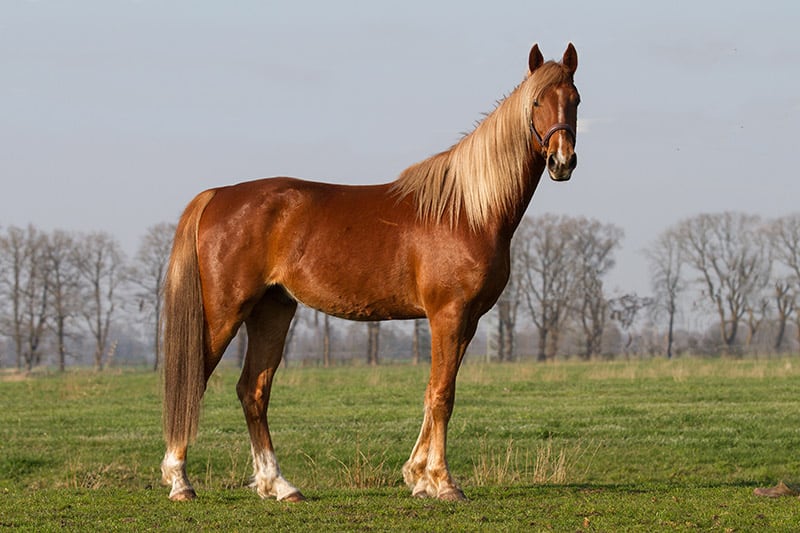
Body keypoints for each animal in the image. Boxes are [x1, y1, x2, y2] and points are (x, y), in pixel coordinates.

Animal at [161, 42, 580, 502]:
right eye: (537, 102)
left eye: (575, 100)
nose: (562, 161)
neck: (466, 211)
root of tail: (216, 195)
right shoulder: (447, 315)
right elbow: (443, 395)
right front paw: (443, 482)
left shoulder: (466, 321)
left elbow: (433, 392)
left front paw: (417, 476)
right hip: (224, 312)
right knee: (195, 381)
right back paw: (180, 481)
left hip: (272, 310)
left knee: (253, 390)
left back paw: (279, 486)